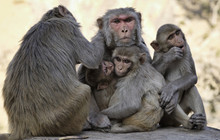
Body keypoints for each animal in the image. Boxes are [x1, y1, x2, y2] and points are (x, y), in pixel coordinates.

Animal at [1, 4, 105, 139]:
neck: (48, 19)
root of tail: (22, 126)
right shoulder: (69, 29)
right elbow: (92, 58)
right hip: (59, 119)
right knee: (85, 90)